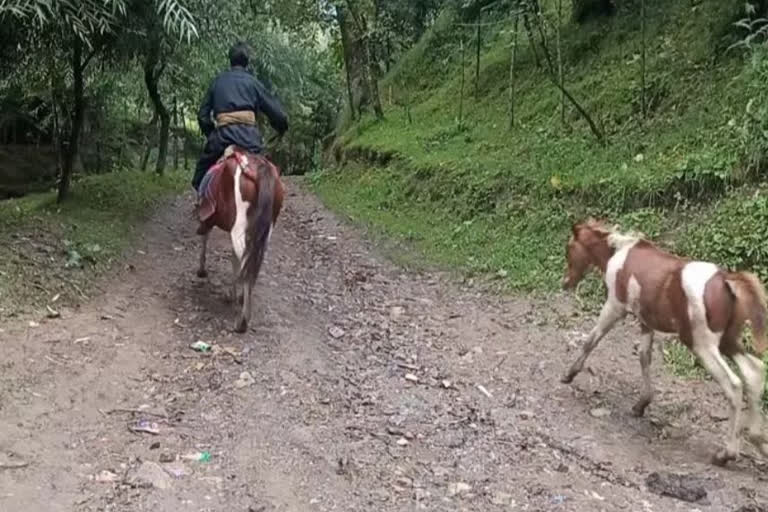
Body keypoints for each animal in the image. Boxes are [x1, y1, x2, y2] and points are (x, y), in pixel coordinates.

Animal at [196, 144, 284, 332]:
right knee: (254, 259)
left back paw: (242, 320)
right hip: (265, 230)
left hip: (239, 227)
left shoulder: (211, 220)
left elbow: (206, 238)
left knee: (245, 257)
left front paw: (201, 270)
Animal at [560, 218, 768, 466]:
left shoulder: (615, 306)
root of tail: (726, 280)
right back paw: (758, 440)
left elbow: (591, 340)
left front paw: (569, 374)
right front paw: (642, 404)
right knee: (754, 371)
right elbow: (644, 357)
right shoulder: (645, 320)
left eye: (569, 248)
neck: (617, 254)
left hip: (702, 345)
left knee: (734, 384)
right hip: (727, 341)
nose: (565, 282)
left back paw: (726, 453)